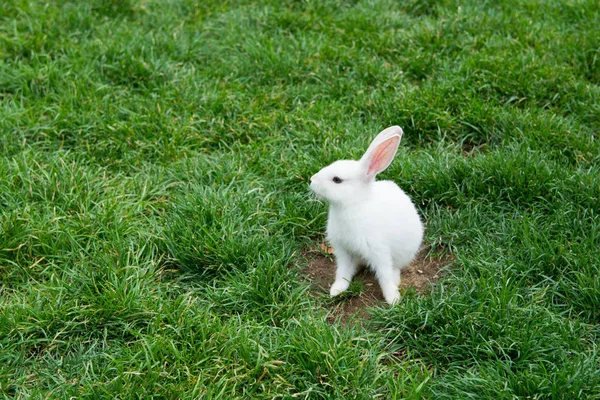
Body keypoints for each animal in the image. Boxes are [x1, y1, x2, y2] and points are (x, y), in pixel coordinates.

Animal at [312, 126, 424, 304]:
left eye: (337, 179)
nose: (311, 180)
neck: (352, 205)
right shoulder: (344, 251)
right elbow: (342, 272)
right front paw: (336, 290)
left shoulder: (379, 251)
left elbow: (384, 275)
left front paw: (393, 299)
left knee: (395, 268)